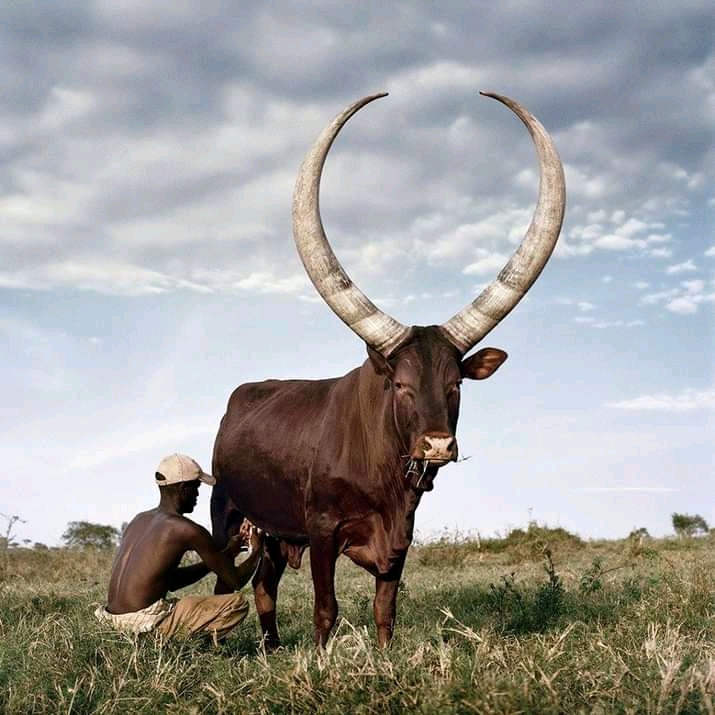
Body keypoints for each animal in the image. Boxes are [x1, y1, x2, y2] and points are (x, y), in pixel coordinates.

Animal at [211, 92, 566, 648]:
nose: (437, 445)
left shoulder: (400, 538)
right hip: (228, 518)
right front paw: (322, 658)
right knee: (235, 585)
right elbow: (326, 609)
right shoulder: (321, 531)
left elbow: (385, 609)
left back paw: (270, 649)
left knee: (265, 586)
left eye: (455, 383)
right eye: (399, 384)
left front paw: (382, 655)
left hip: (273, 534)